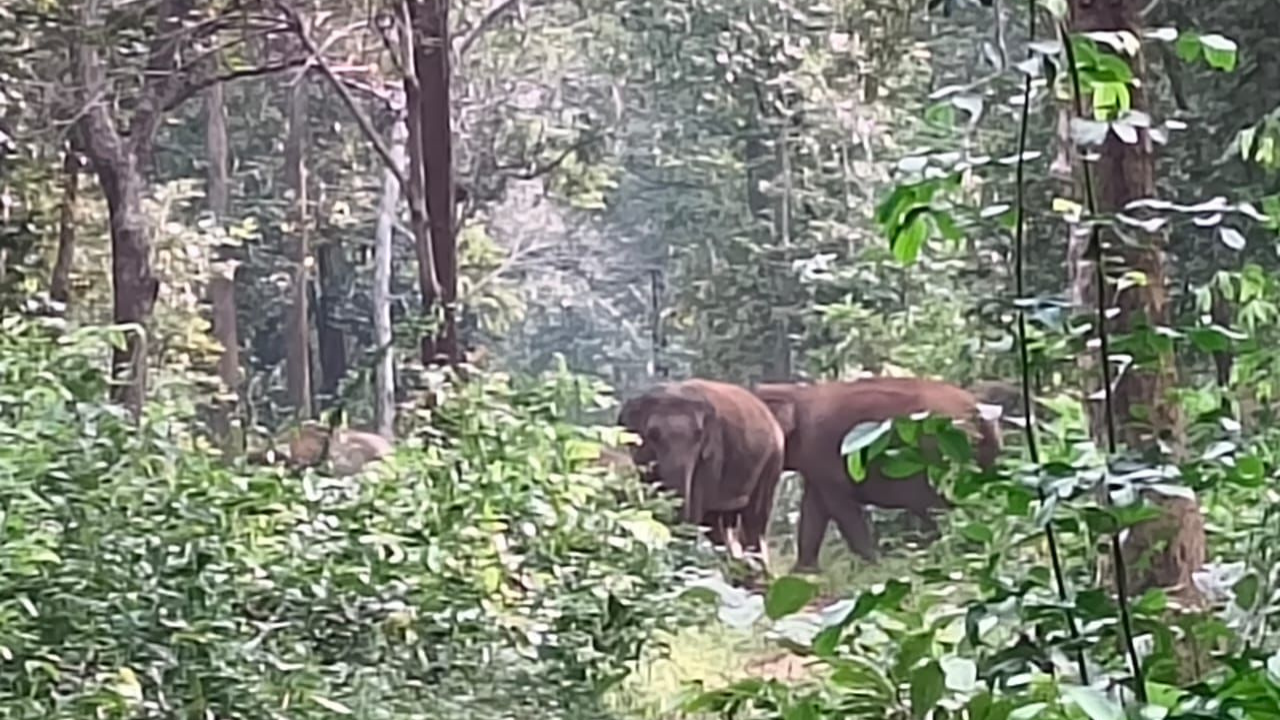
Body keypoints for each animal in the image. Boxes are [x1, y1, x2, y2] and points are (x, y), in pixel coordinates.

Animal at [618, 379, 785, 560]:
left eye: (699, 435)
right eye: (653, 434)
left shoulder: (712, 452)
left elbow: (695, 510)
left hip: (772, 458)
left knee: (753, 520)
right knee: (717, 525)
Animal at [753, 377, 1002, 571]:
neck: (795, 393)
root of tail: (979, 413)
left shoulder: (823, 451)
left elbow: (840, 508)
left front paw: (872, 568)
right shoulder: (815, 464)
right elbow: (814, 508)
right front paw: (802, 572)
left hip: (943, 453)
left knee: (939, 506)